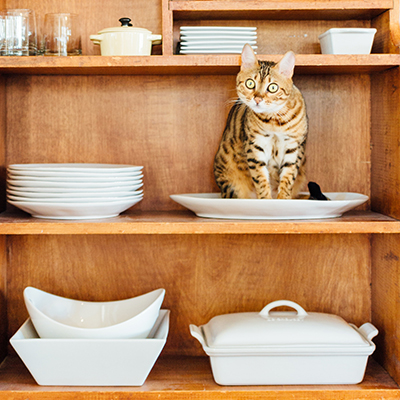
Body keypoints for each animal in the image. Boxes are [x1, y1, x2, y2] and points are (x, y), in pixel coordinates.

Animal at [214, 44, 308, 199]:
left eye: (273, 87)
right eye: (250, 83)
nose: (257, 99)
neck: (274, 121)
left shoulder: (294, 147)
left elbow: (288, 179)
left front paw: (284, 199)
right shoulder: (254, 146)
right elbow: (261, 180)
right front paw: (266, 200)